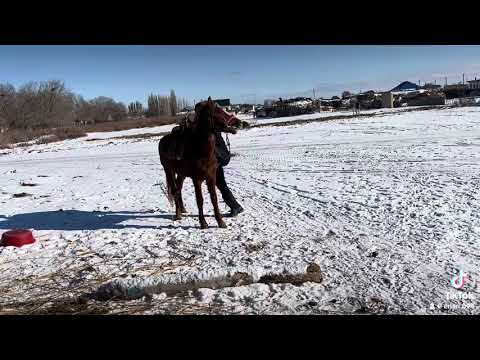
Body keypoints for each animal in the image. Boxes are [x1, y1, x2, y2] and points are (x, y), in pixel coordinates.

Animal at [158, 97, 240, 228]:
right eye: (218, 111)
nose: (237, 122)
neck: (201, 151)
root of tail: (162, 140)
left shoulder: (211, 177)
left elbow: (214, 199)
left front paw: (220, 221)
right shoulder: (197, 180)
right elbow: (199, 200)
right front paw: (203, 223)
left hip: (181, 174)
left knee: (179, 190)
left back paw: (182, 210)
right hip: (169, 171)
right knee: (175, 191)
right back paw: (178, 215)